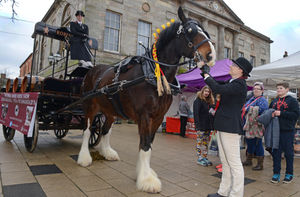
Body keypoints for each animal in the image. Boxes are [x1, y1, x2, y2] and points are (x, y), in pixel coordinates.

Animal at [76, 6, 214, 193]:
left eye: (205, 31)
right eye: (190, 31)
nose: (211, 55)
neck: (153, 75)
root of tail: (92, 69)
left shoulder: (158, 117)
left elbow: (148, 144)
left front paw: (144, 172)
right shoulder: (145, 116)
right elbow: (145, 144)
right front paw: (147, 180)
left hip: (110, 110)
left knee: (105, 130)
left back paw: (107, 152)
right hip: (89, 106)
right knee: (88, 130)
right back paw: (84, 157)